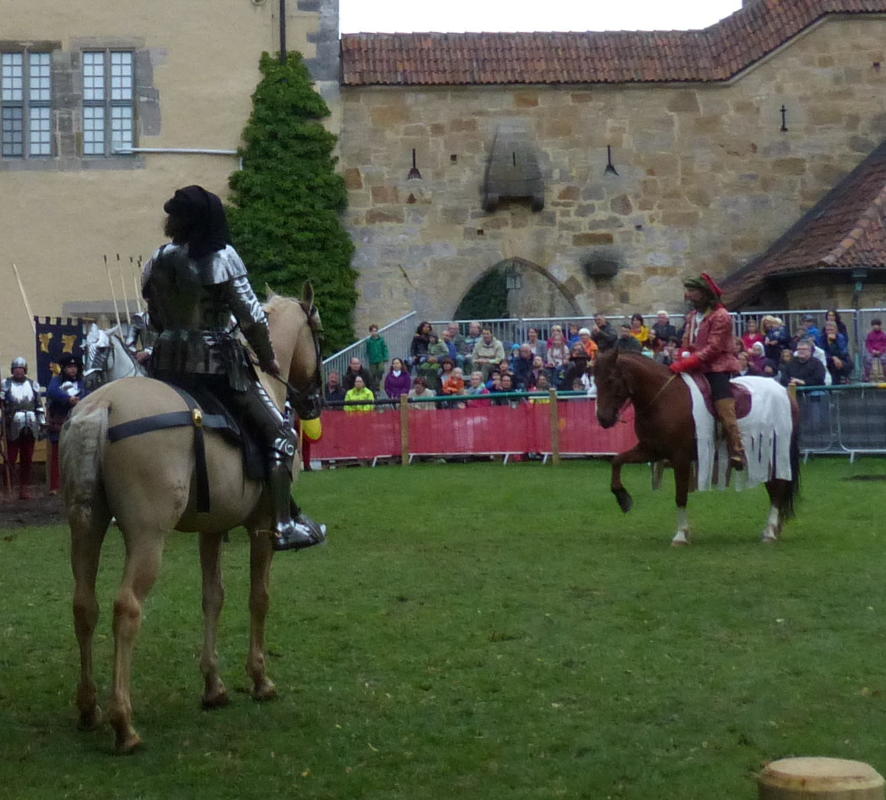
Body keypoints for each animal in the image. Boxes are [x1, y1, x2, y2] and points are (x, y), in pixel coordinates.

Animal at [61, 288, 324, 753]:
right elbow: (259, 597)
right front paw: (259, 679)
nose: (315, 398)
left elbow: (212, 597)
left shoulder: (211, 529)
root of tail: (102, 404)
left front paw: (214, 686)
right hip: (148, 537)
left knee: (84, 605)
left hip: (86, 526)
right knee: (126, 608)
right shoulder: (261, 527)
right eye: (319, 332)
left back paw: (89, 708)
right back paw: (123, 723)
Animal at [593, 348, 800, 545]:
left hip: (775, 452)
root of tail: (784, 393)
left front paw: (680, 535)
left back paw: (770, 532)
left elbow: (680, 496)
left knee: (778, 488)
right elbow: (617, 461)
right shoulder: (650, 450)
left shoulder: (680, 458)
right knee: (774, 489)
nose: (603, 419)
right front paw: (623, 498)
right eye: (596, 380)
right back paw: (771, 530)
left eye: (611, 380)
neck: (663, 398)